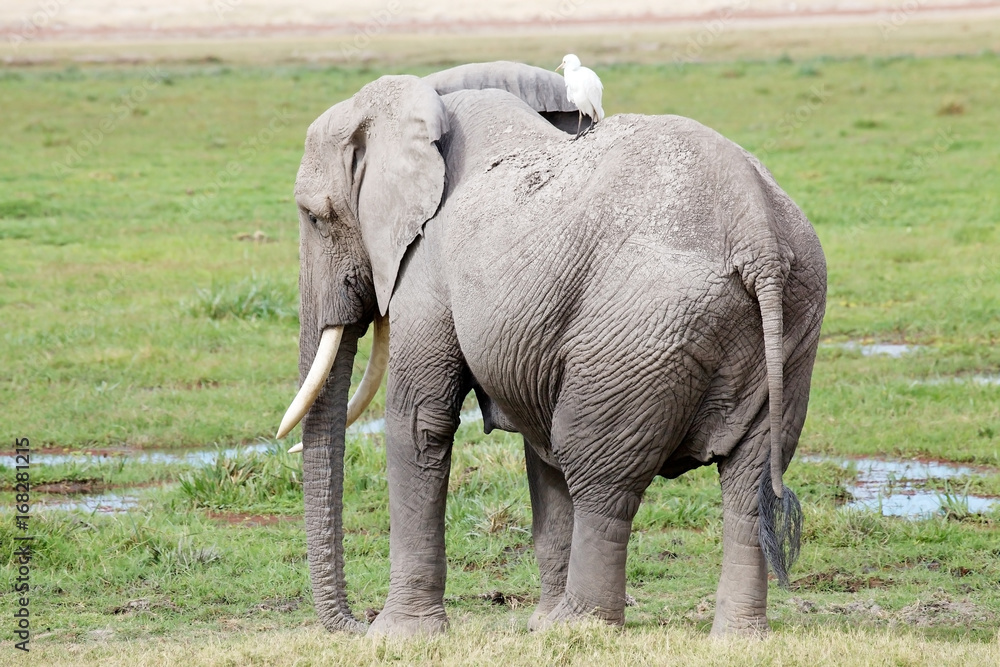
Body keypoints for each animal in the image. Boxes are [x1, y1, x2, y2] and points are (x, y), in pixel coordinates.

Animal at [274, 61, 827, 637]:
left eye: (313, 217)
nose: (352, 623)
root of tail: (757, 234)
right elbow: (537, 445)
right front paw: (531, 626)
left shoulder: (427, 267)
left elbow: (420, 423)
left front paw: (397, 636)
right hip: (792, 324)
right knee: (747, 481)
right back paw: (734, 639)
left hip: (638, 332)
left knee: (599, 472)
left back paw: (579, 627)